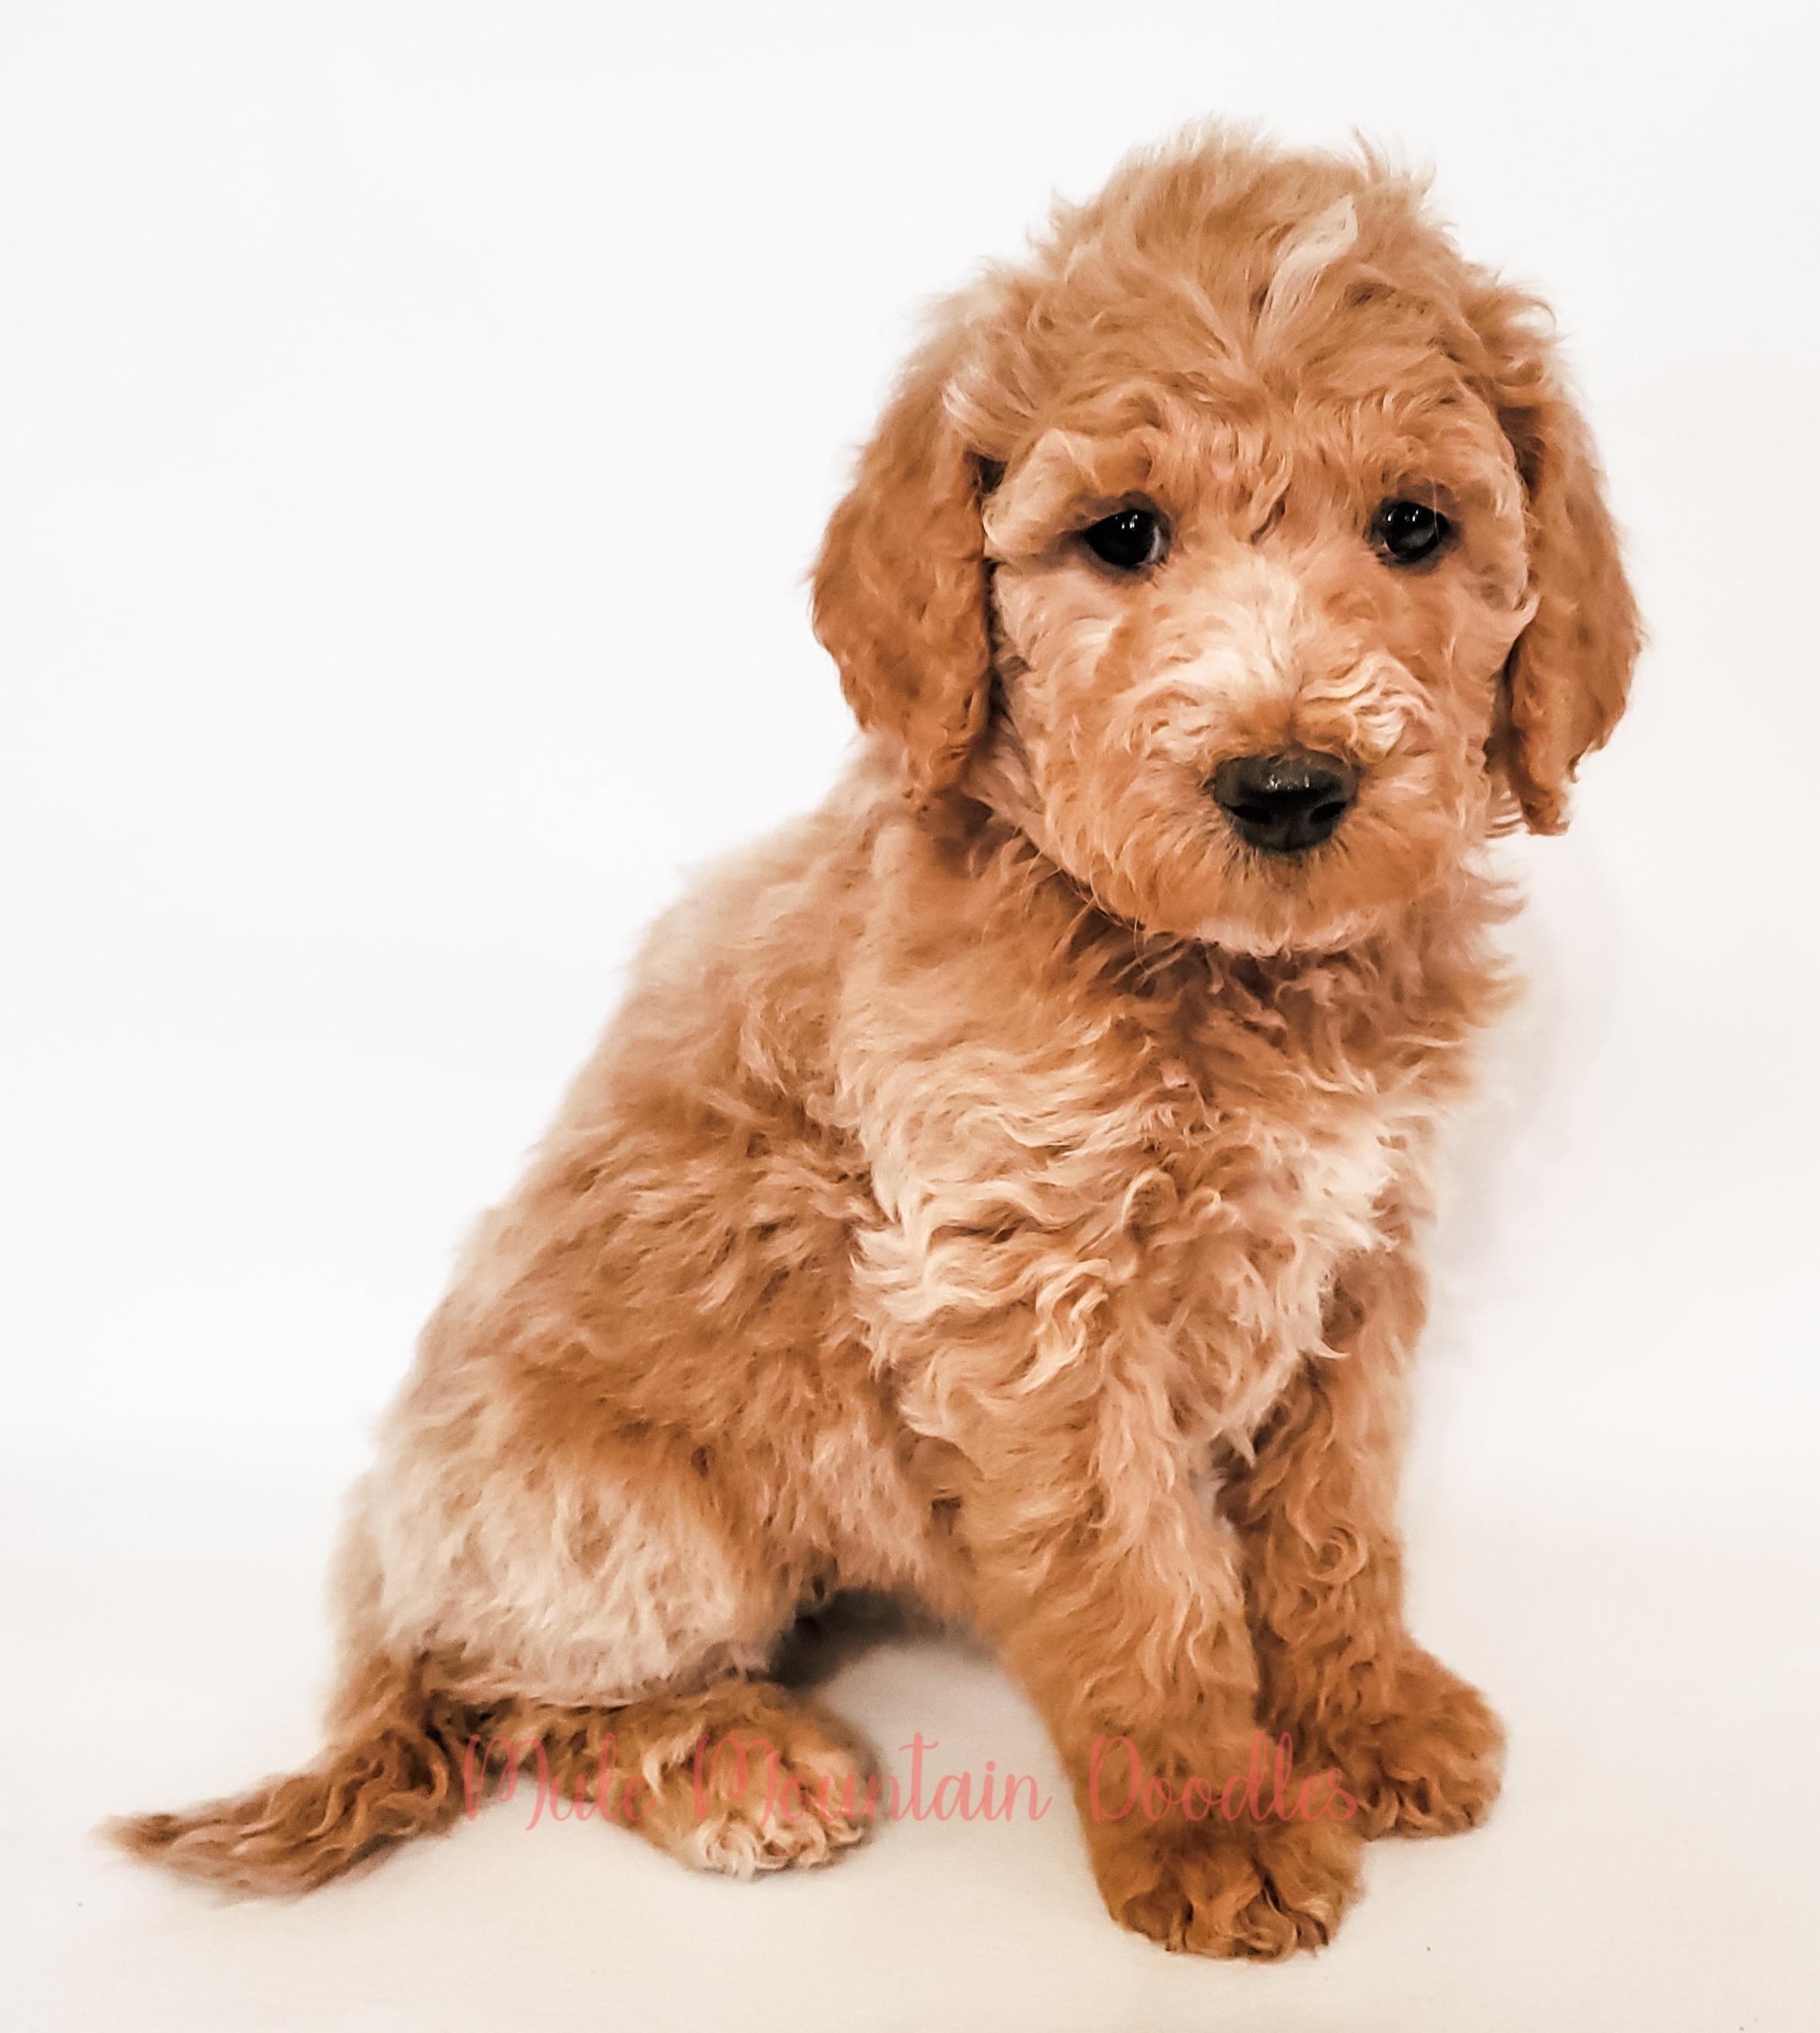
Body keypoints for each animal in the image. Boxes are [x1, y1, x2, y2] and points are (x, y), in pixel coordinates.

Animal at [111, 124, 1638, 1958]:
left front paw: (1367, 1711)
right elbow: (1138, 1575)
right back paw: (738, 1760)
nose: (1284, 786)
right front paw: (1212, 1823)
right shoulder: (1019, 1288)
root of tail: (383, 1613)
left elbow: (1330, 1516)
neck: (1220, 976)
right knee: (525, 1696)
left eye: (1415, 527)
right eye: (1122, 537)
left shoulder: (1357, 1251)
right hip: (607, 1515)